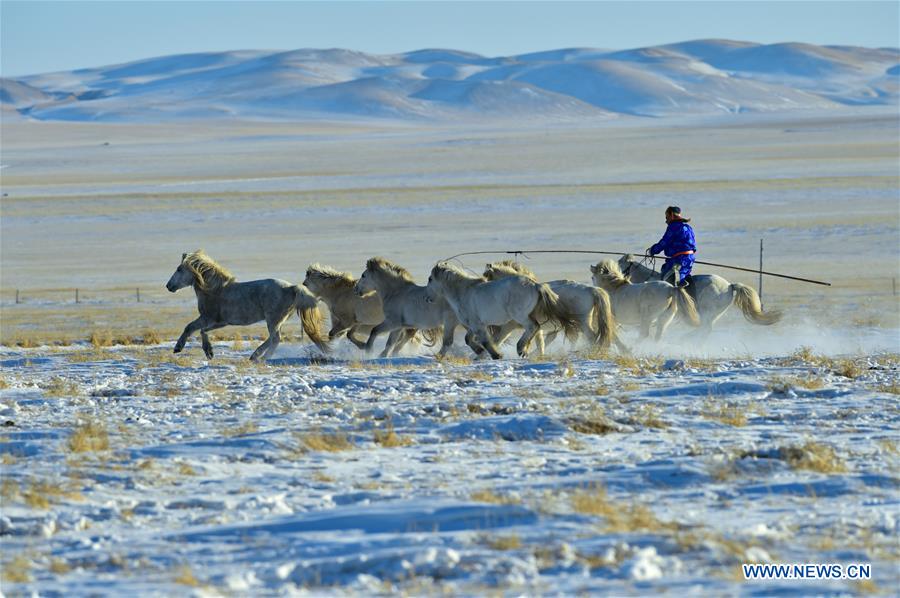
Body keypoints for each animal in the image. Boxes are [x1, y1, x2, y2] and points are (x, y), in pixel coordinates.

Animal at [166, 252, 330, 364]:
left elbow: (191, 327)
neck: (214, 290)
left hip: (273, 319)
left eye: (179, 269)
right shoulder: (220, 322)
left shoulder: (208, 318)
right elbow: (201, 330)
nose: (168, 286)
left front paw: (180, 348)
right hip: (278, 320)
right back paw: (254, 356)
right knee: (272, 338)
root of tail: (291, 288)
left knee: (276, 338)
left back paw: (262, 358)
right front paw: (208, 352)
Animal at [482, 262, 624, 352]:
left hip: (584, 323)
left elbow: (497, 340)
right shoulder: (536, 328)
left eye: (486, 277)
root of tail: (591, 290)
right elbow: (540, 344)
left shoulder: (509, 326)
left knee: (593, 338)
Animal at [620, 254, 780, 338]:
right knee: (705, 329)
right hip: (713, 314)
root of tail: (729, 286)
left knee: (705, 329)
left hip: (707, 310)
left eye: (620, 264)